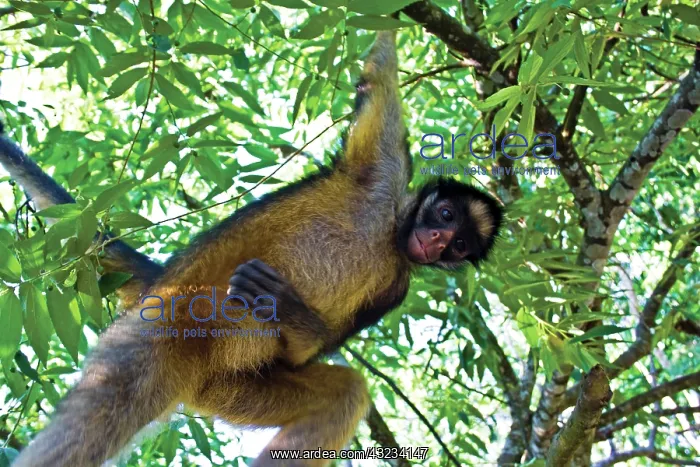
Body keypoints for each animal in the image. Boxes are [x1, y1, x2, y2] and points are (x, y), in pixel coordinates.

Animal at [1, 31, 503, 466]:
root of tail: (162, 284)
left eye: (460, 244)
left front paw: (296, 316)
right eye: (445, 216)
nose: (438, 242)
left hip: (228, 388)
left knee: (346, 393)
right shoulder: (382, 176)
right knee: (109, 399)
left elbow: (302, 353)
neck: (388, 240)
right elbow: (380, 79)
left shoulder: (395, 287)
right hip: (162, 327)